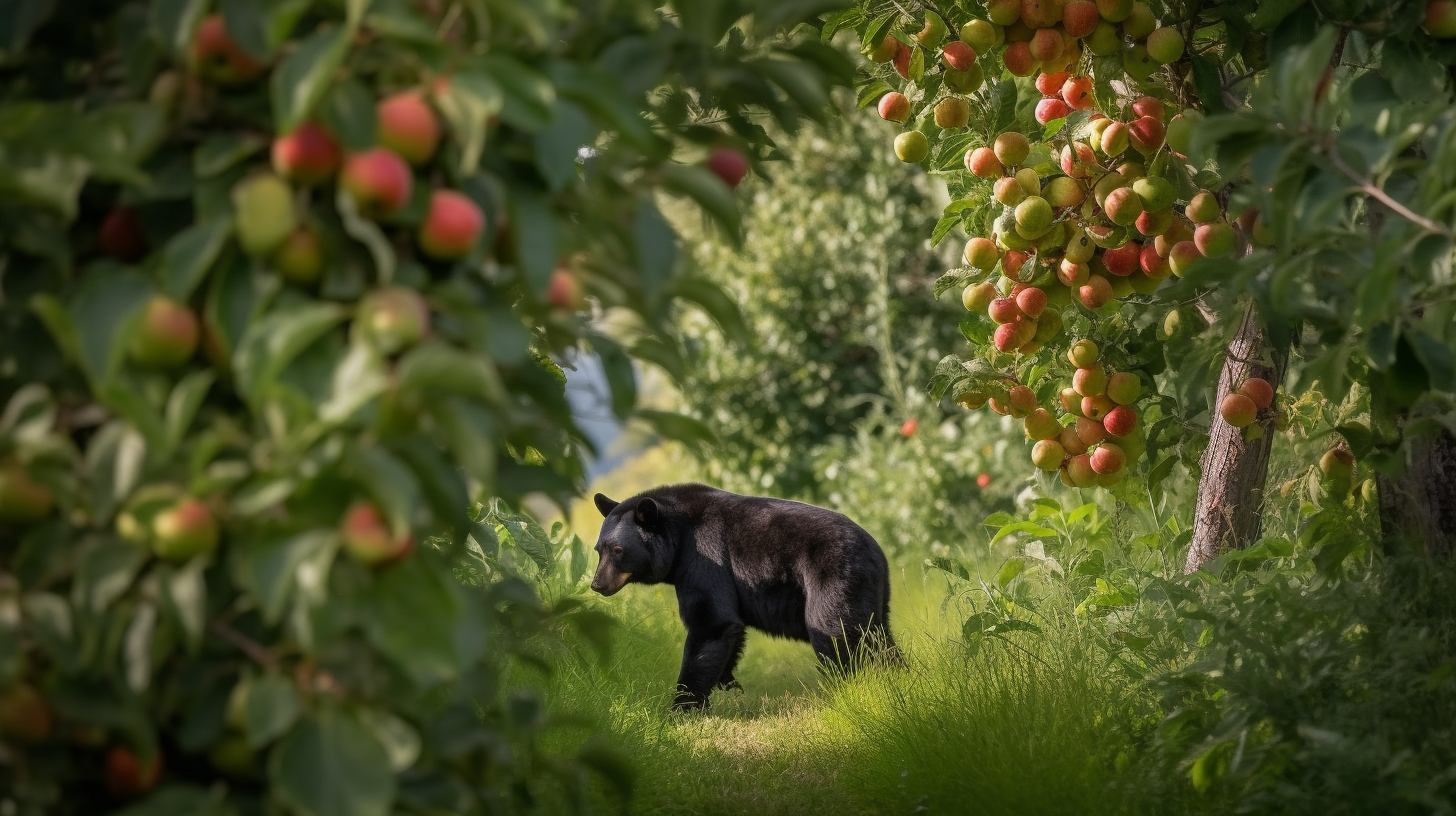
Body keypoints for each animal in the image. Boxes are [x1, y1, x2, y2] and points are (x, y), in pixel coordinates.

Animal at [590, 482, 898, 710]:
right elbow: (727, 627)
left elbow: (712, 622)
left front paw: (683, 706)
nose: (597, 584)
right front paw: (728, 685)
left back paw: (846, 688)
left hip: (832, 575)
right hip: (872, 593)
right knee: (878, 636)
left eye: (618, 550)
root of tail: (876, 550)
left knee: (835, 631)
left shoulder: (704, 556)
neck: (678, 534)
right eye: (598, 549)